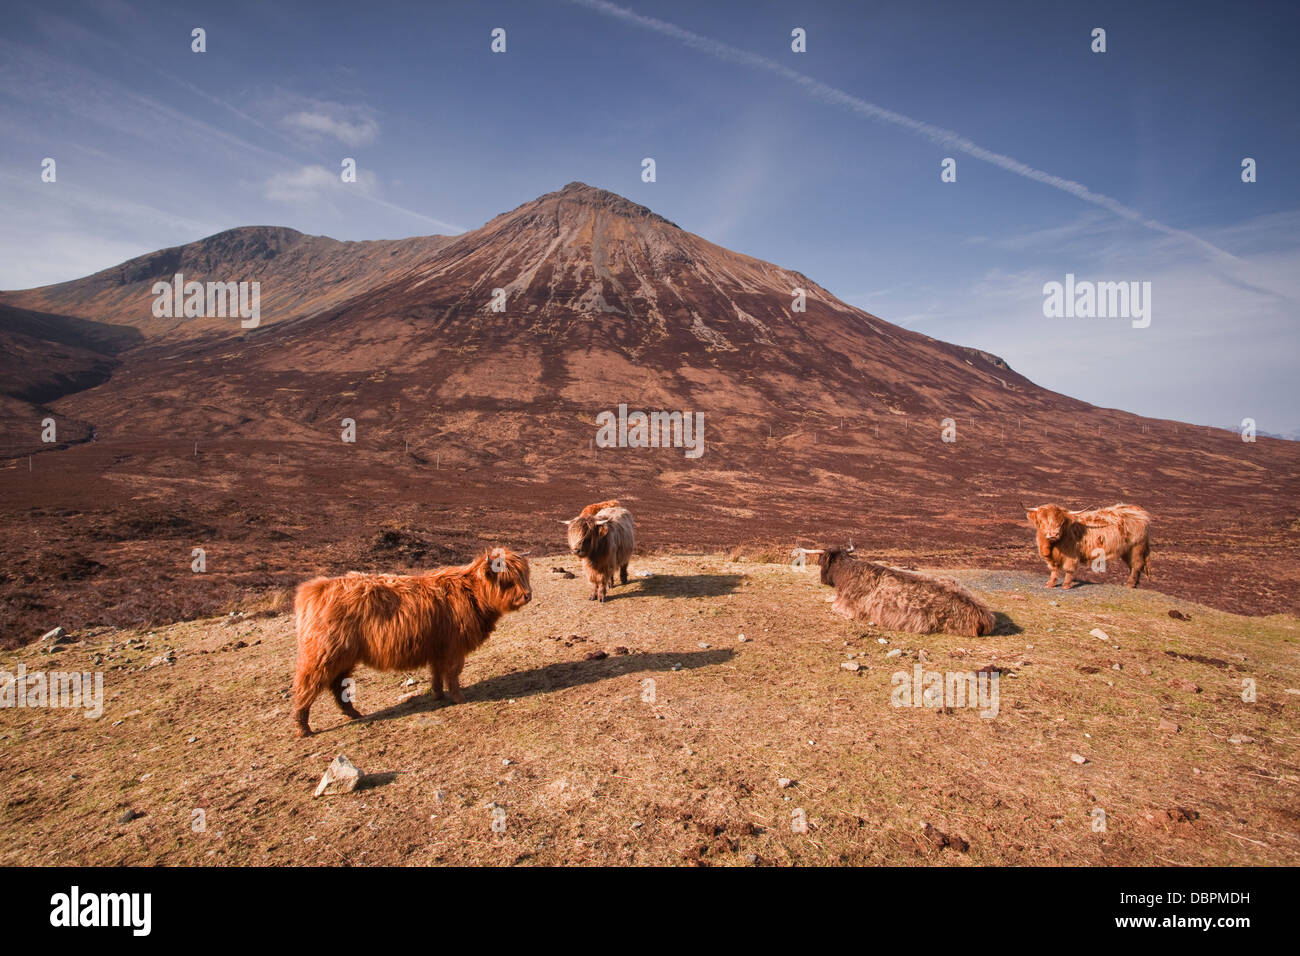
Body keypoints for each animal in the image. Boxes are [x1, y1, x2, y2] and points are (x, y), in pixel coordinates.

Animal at [1023, 502, 1152, 589]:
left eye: (1062, 522)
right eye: (1042, 520)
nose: (1053, 533)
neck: (1051, 545)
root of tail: (1138, 509)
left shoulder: (1072, 555)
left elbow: (1069, 569)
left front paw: (1066, 585)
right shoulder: (1051, 558)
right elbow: (1053, 570)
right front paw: (1050, 584)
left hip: (1137, 547)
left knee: (1137, 565)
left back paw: (1129, 584)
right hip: (1127, 550)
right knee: (1133, 566)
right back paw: (1134, 584)